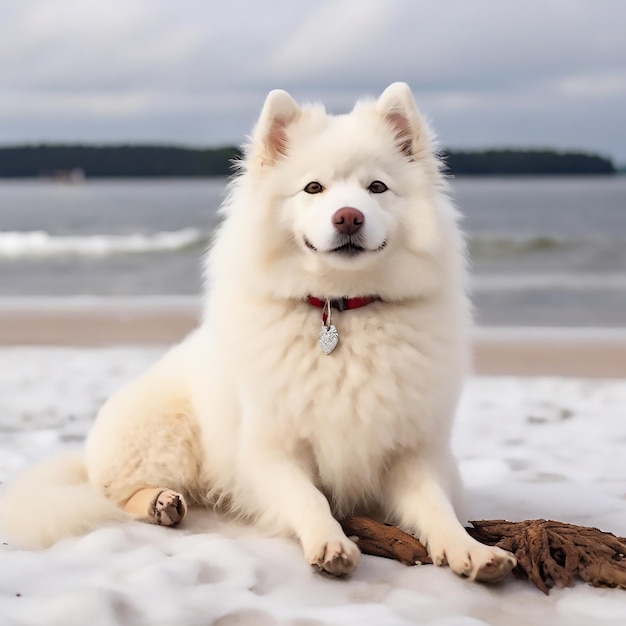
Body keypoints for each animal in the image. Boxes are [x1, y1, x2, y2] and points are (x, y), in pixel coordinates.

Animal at [2, 83, 516, 580]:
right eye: (313, 188)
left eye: (377, 187)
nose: (349, 216)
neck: (340, 309)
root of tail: (86, 458)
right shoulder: (273, 451)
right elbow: (310, 498)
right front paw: (329, 542)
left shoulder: (410, 454)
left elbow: (436, 506)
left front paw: (469, 550)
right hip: (166, 437)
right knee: (113, 492)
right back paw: (159, 502)